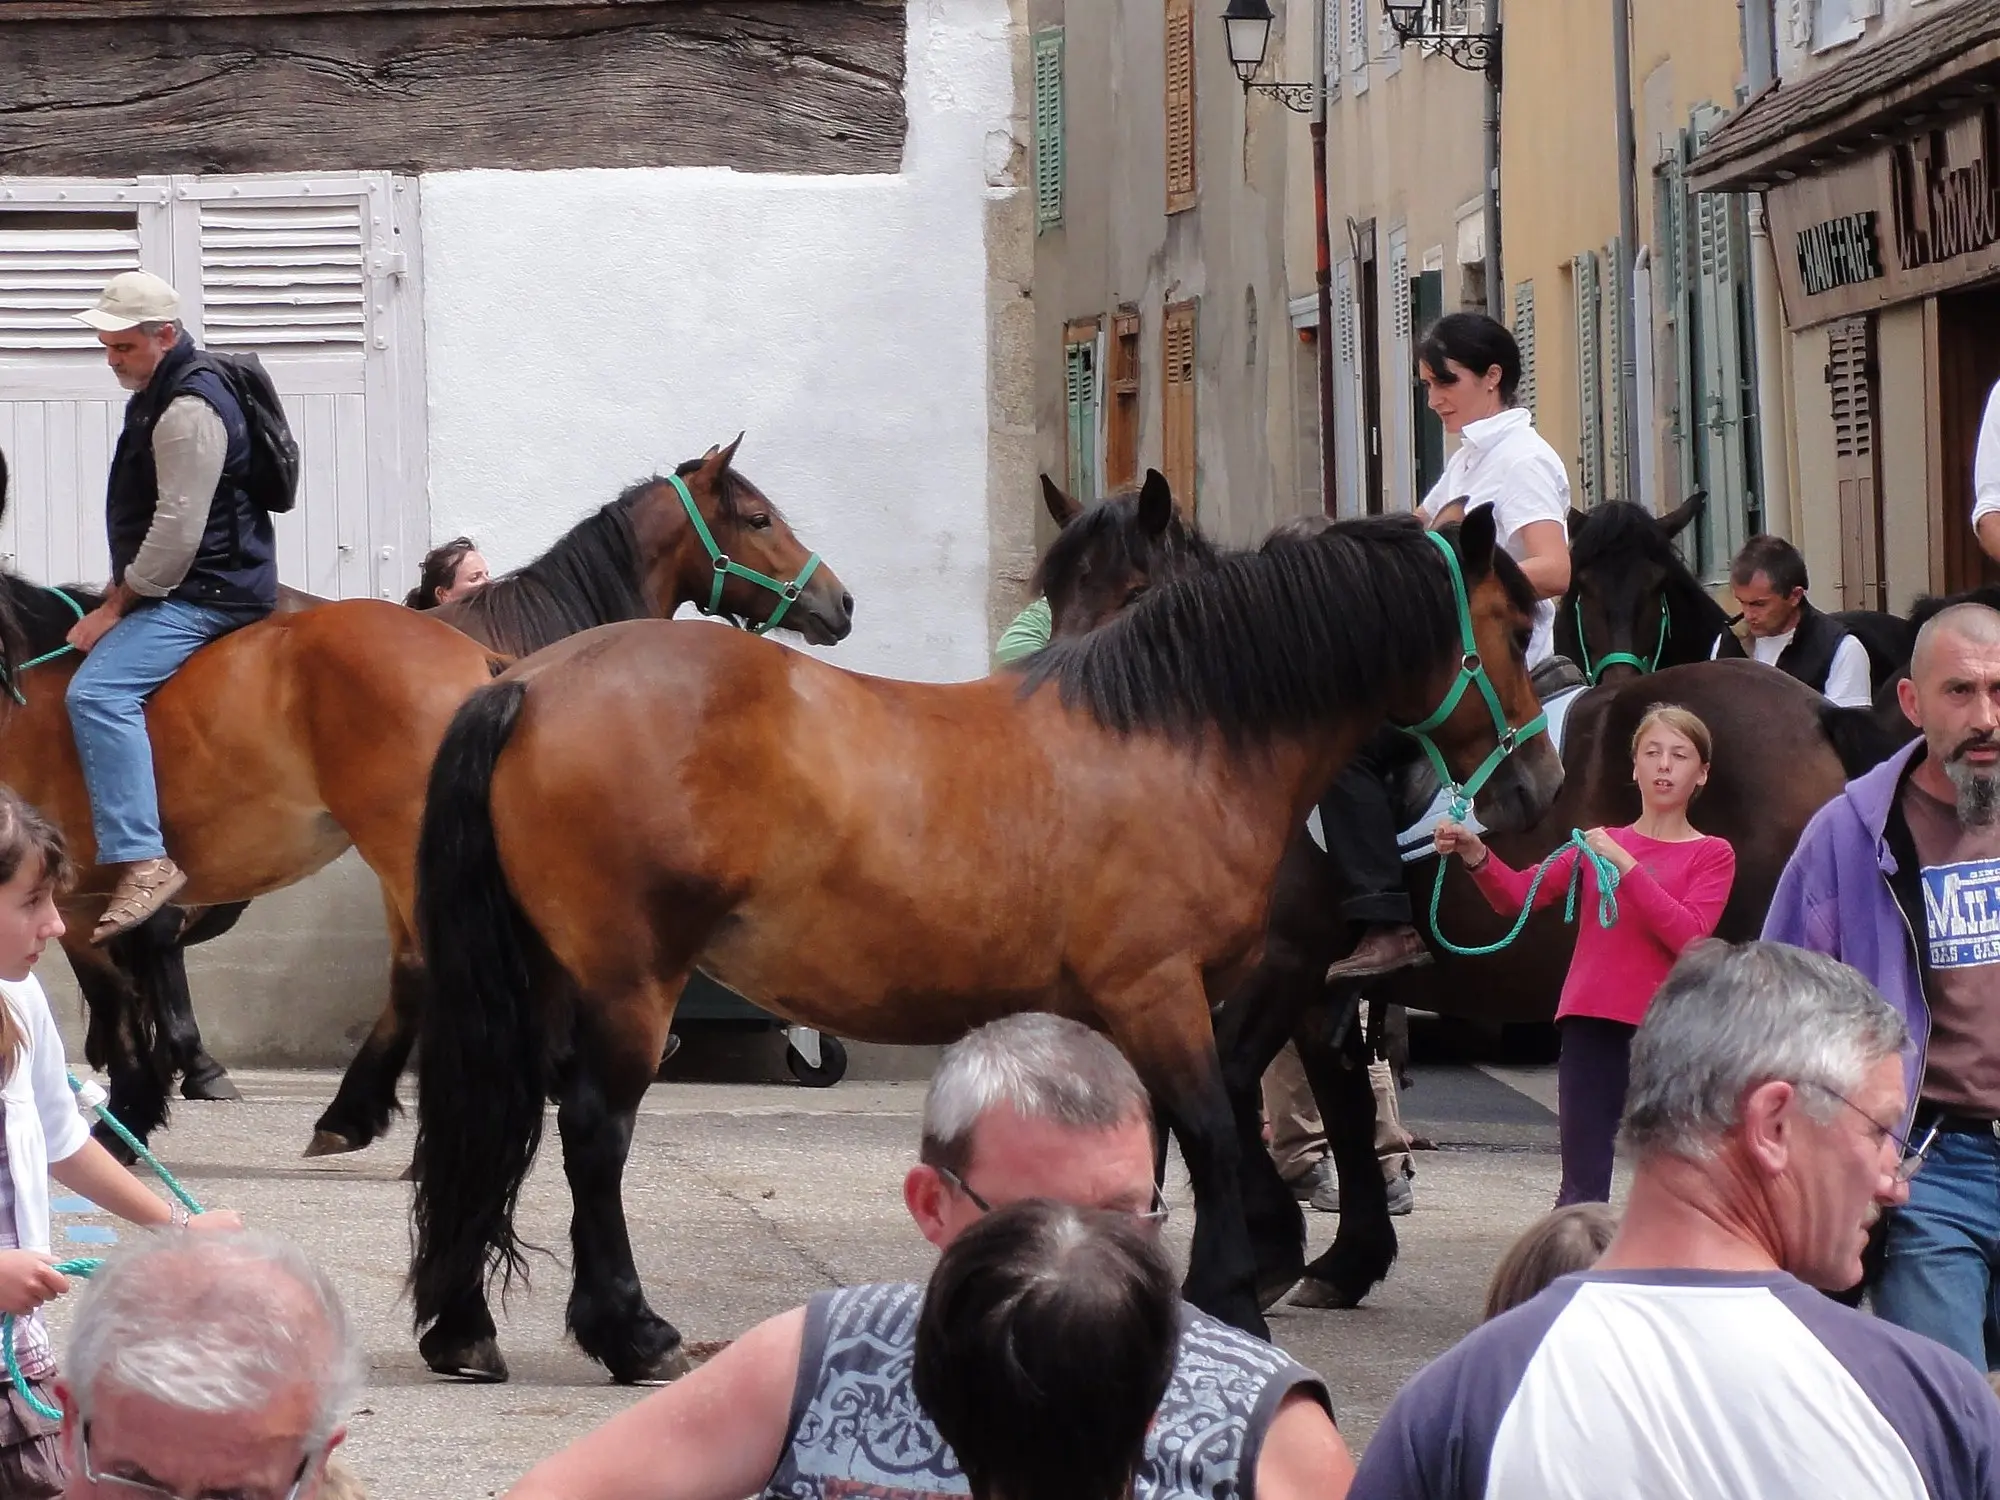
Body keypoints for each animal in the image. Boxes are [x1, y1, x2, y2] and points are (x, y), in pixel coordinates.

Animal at [406, 506, 1560, 1384]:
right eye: (1511, 626)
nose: (1533, 789)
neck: (1177, 735)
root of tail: (527, 683)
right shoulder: (1160, 993)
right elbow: (1209, 1133)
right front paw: (1231, 1296)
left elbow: (1144, 1148)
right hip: (631, 983)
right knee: (593, 1133)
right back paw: (631, 1332)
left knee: (501, 1116)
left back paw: (462, 1327)